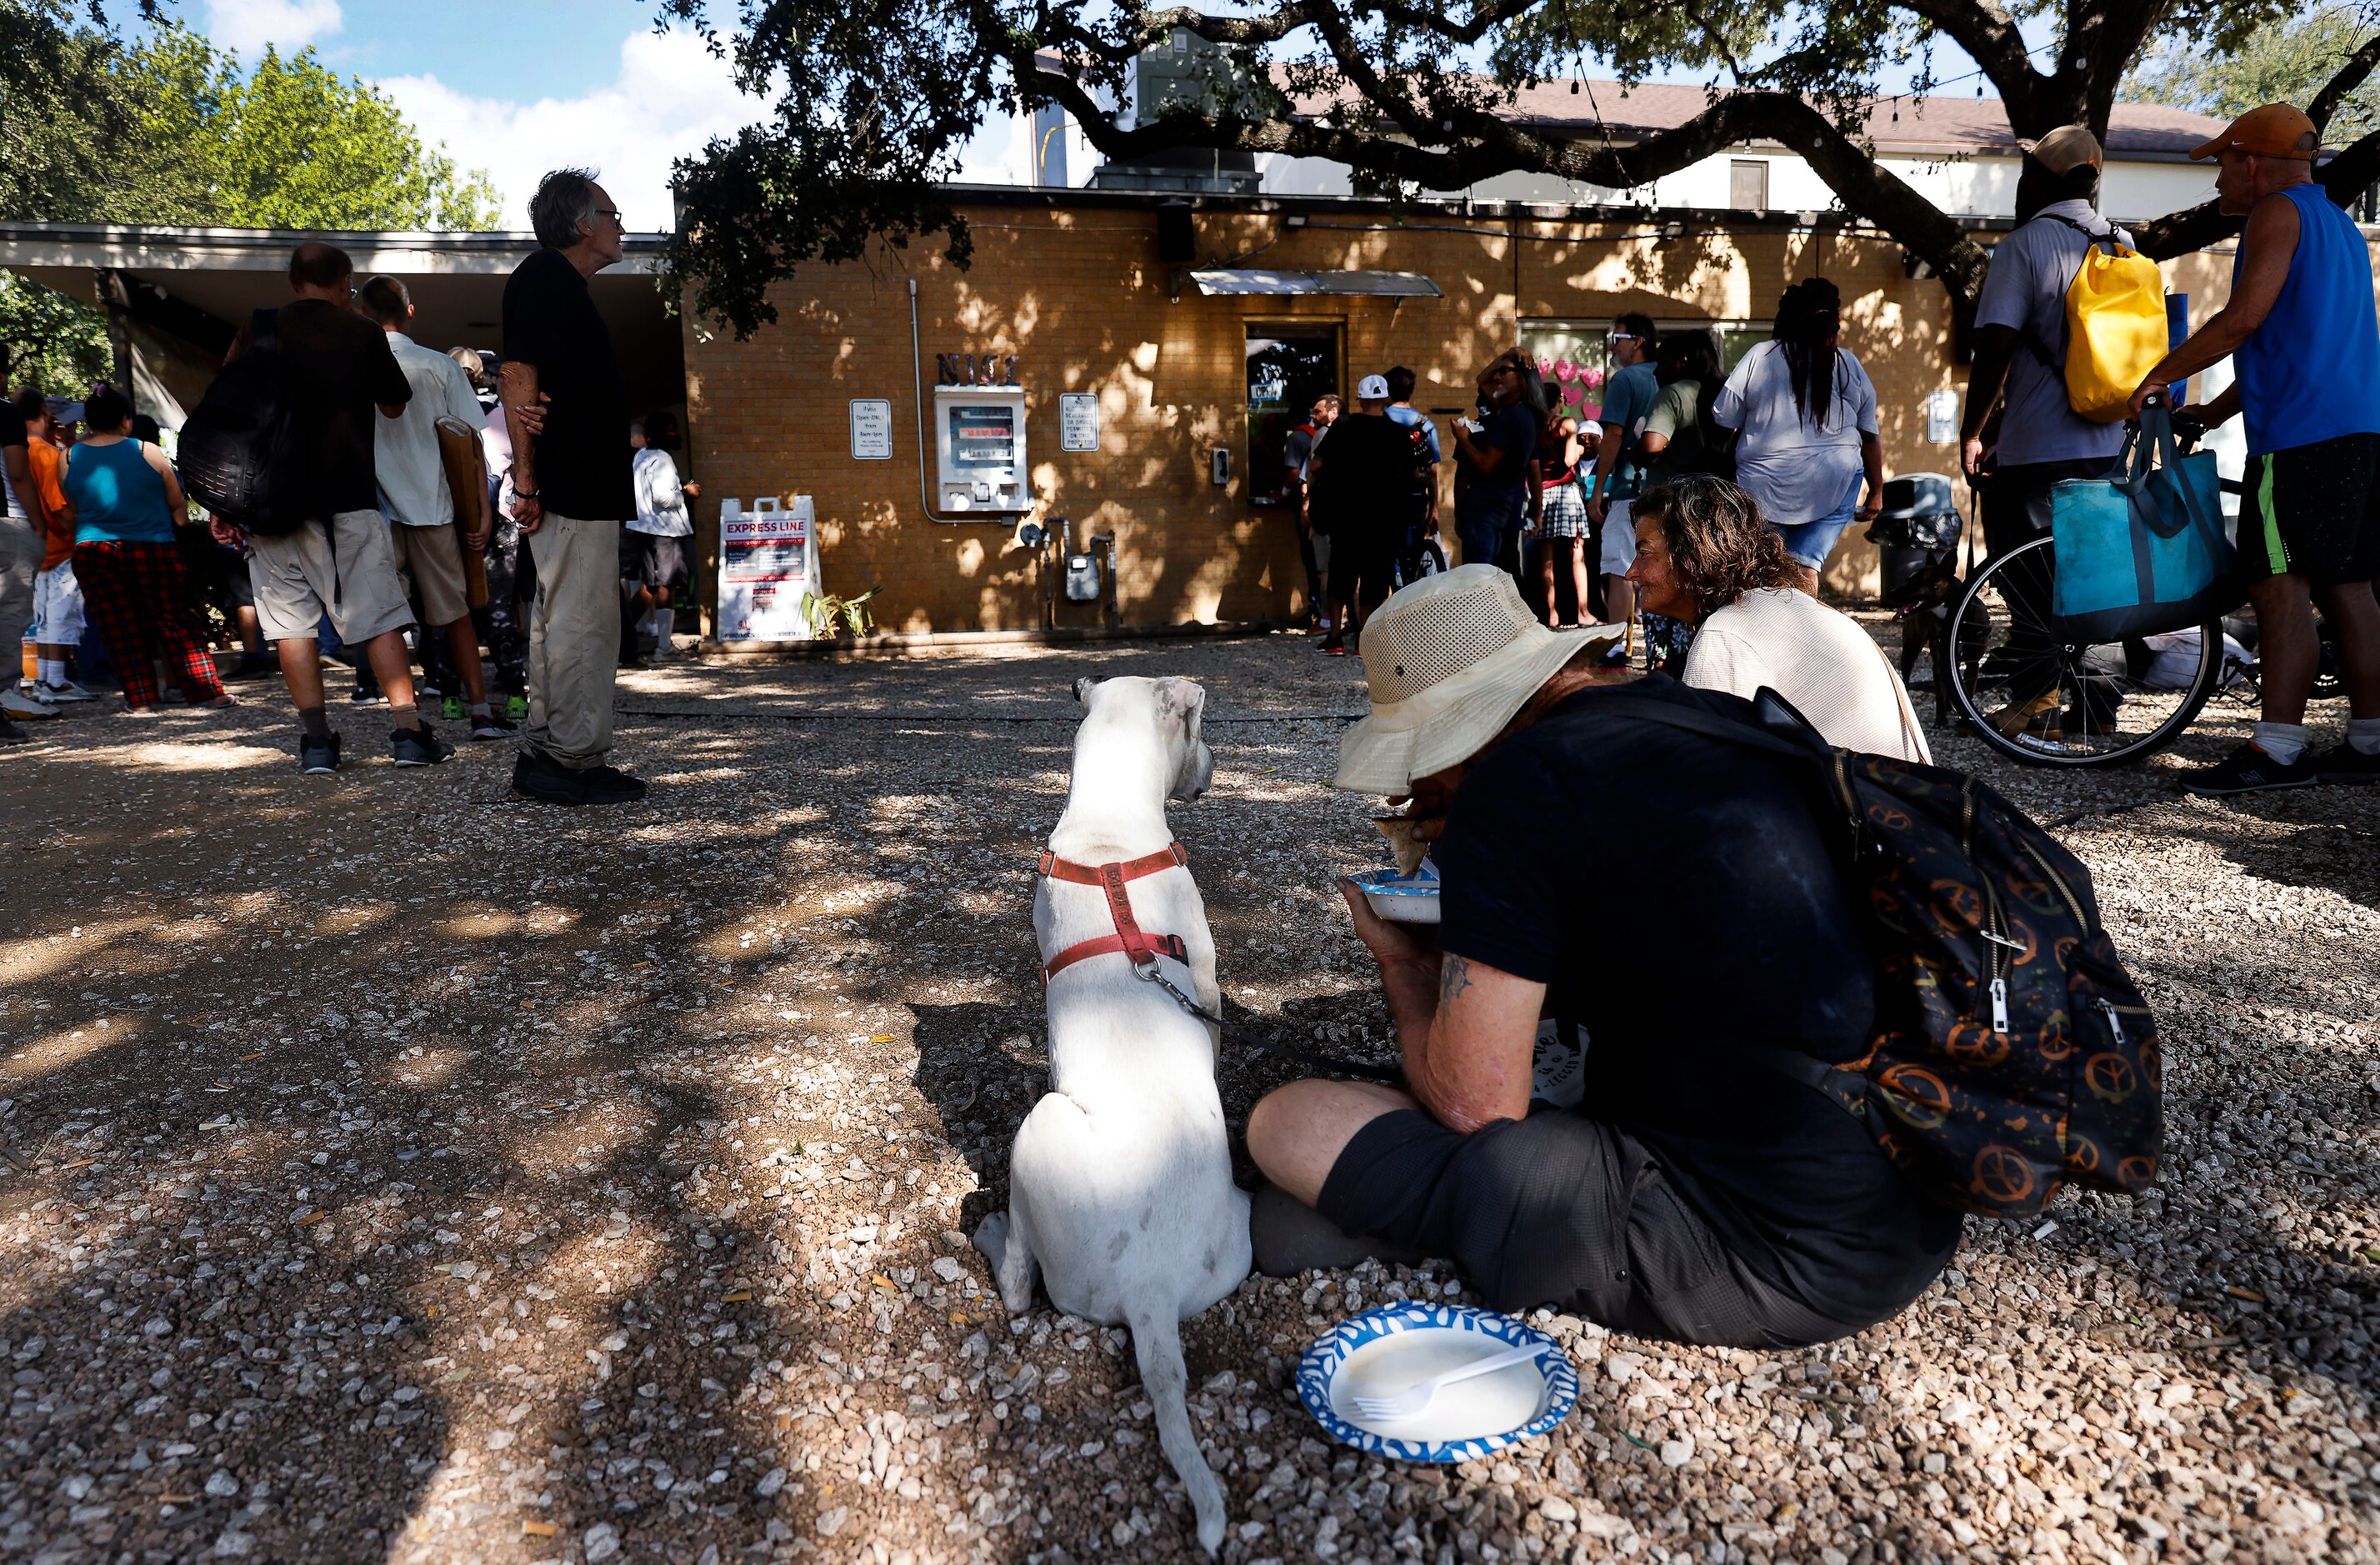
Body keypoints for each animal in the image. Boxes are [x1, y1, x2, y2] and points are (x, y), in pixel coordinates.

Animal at [975, 675, 1256, 1550]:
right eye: (1202, 728)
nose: (1217, 769)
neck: (1109, 845)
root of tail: (1150, 1286)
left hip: (1038, 1130)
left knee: (1019, 1284)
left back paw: (989, 1229)